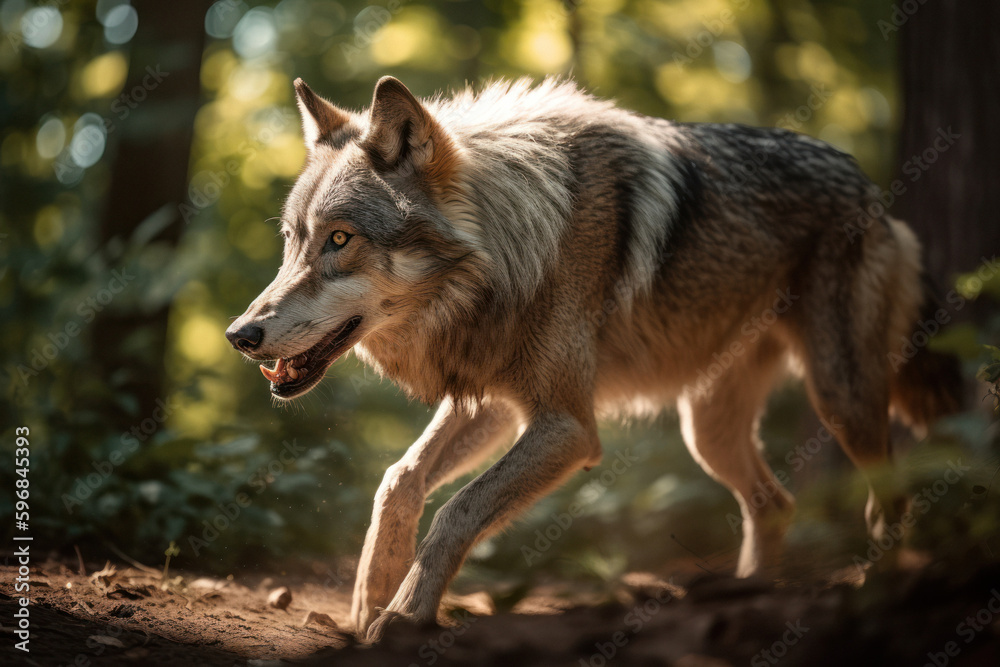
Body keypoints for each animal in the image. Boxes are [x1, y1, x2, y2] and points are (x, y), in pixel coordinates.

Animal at [225, 76, 961, 641]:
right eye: (292, 241)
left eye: (339, 240)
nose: (240, 334)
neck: (518, 246)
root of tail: (872, 192)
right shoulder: (497, 403)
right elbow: (399, 479)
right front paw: (369, 598)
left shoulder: (568, 425)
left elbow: (458, 508)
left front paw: (405, 616)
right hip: (707, 430)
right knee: (774, 502)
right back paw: (747, 596)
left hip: (839, 398)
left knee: (890, 500)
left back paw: (877, 591)